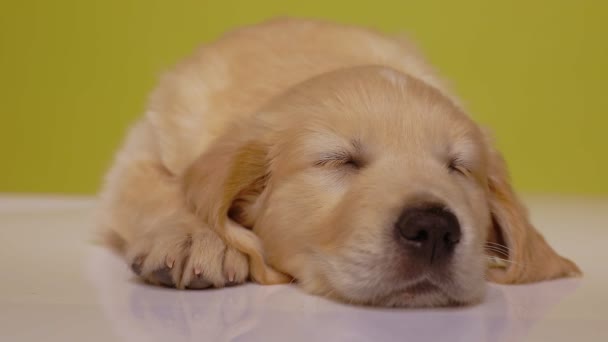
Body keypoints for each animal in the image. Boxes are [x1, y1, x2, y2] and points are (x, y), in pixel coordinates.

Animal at [97, 18, 580, 308]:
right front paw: (194, 238)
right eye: (338, 161)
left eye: (457, 167)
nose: (434, 228)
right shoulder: (142, 149)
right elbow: (156, 187)